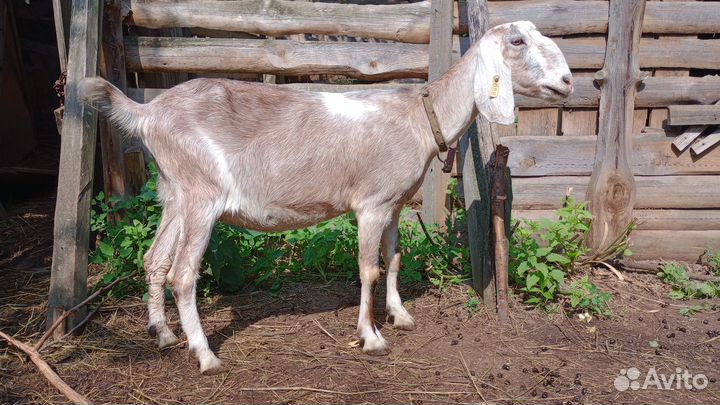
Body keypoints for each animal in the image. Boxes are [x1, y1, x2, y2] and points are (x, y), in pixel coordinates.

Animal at [80, 21, 572, 374]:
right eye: (517, 40)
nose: (568, 82)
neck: (416, 115)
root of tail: (147, 113)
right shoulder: (370, 205)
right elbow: (368, 269)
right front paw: (371, 337)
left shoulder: (394, 204)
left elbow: (394, 259)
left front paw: (399, 315)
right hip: (202, 196)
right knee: (182, 275)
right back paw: (205, 356)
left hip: (174, 192)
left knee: (154, 259)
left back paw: (163, 334)